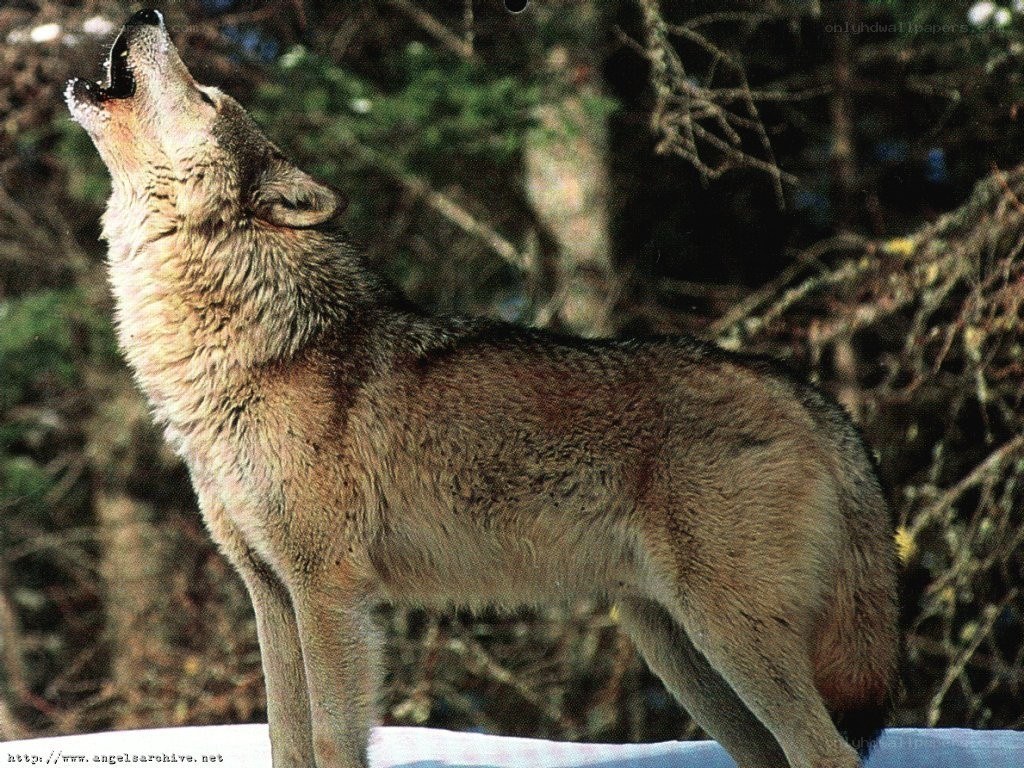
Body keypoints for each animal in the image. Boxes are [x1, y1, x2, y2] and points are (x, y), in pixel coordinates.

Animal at [67, 10, 899, 768]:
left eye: (207, 95)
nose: (146, 13)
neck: (253, 346)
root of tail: (805, 393)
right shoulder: (269, 590)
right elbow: (286, 741)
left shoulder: (329, 589)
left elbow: (333, 739)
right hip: (675, 647)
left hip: (727, 633)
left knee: (828, 752)